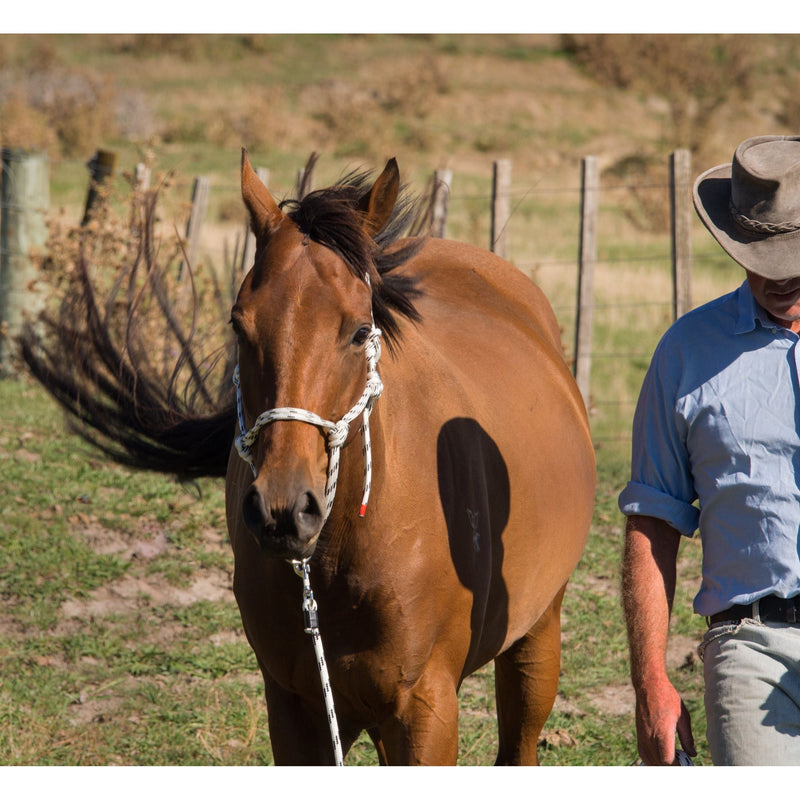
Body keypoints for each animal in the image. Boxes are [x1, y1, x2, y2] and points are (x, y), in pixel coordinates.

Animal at [21, 153, 596, 764]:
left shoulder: (426, 712)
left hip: (537, 636)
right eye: (238, 324)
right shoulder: (297, 710)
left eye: (361, 331)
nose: (284, 509)